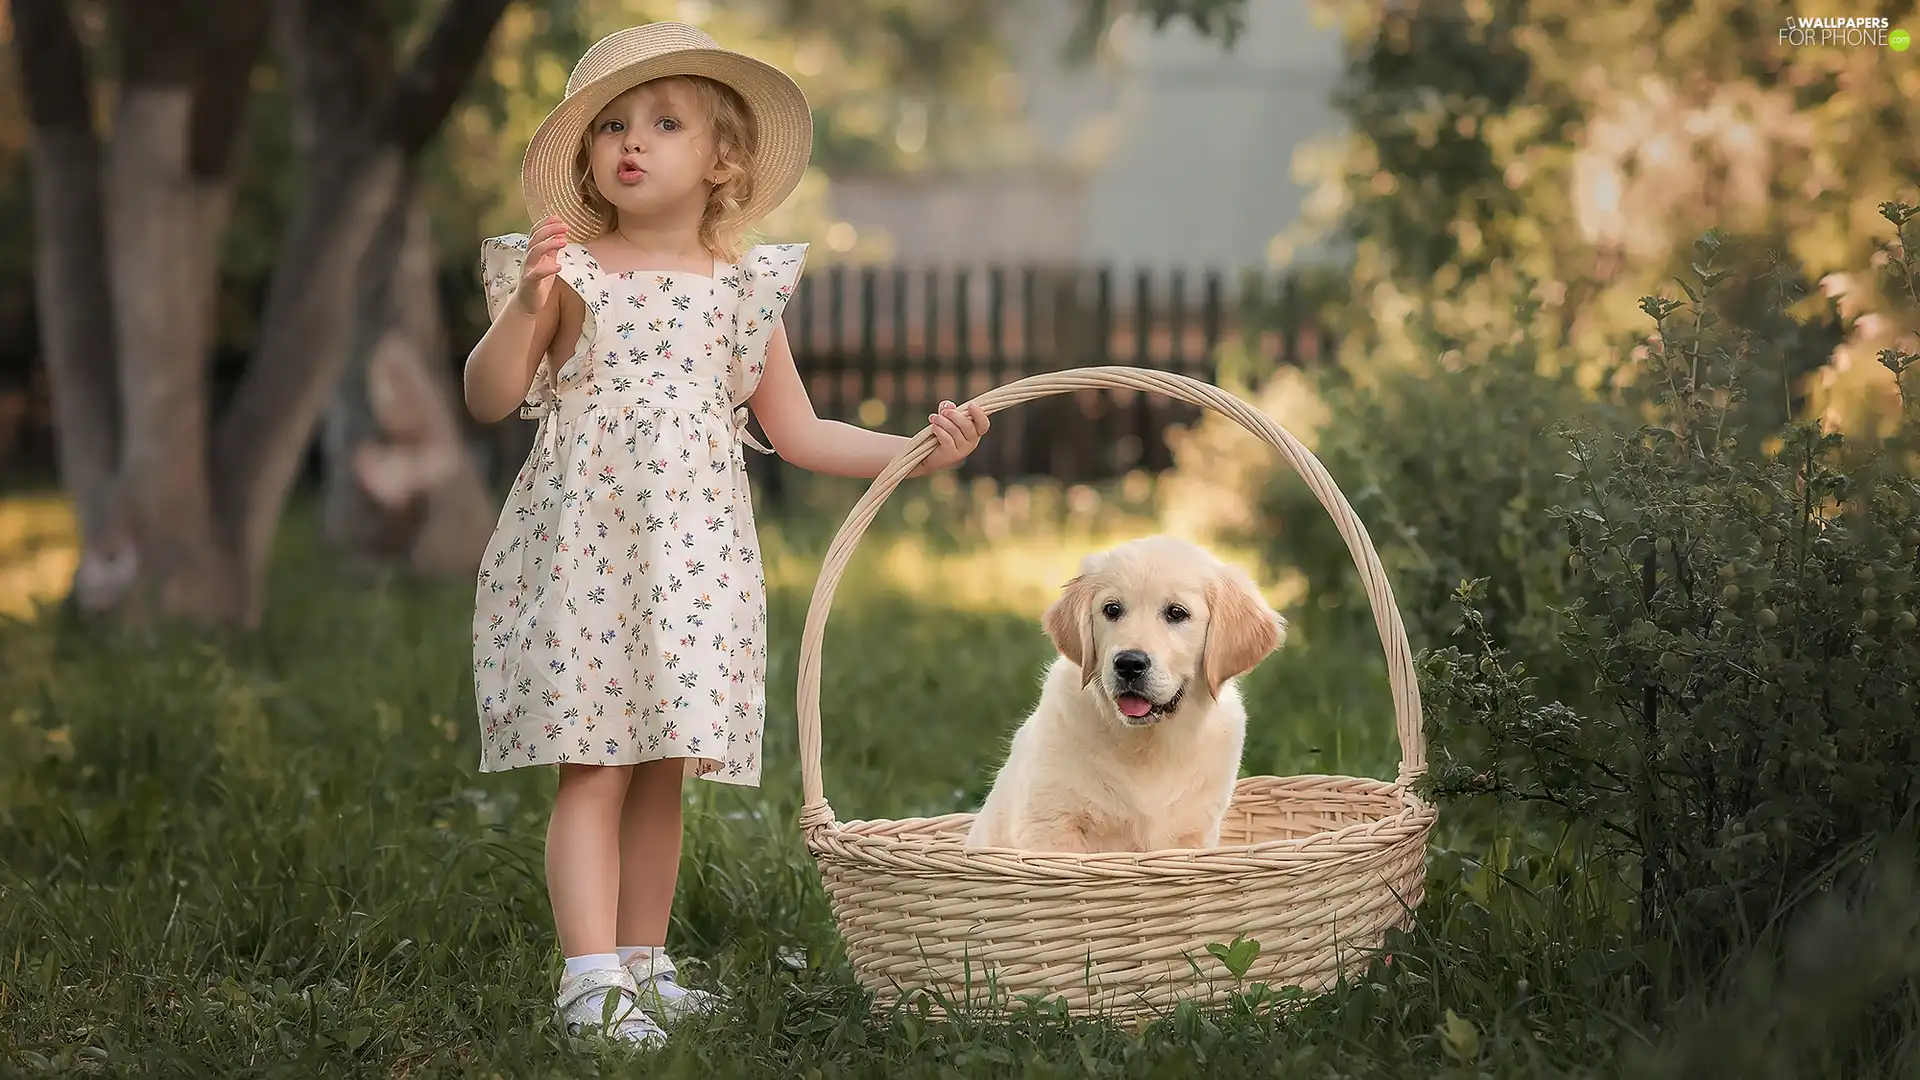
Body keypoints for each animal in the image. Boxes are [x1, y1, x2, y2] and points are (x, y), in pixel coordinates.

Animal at [960, 530, 1290, 849]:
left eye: (1176, 613)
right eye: (1112, 609)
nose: (1129, 664)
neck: (1147, 746)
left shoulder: (1195, 835)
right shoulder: (1049, 824)